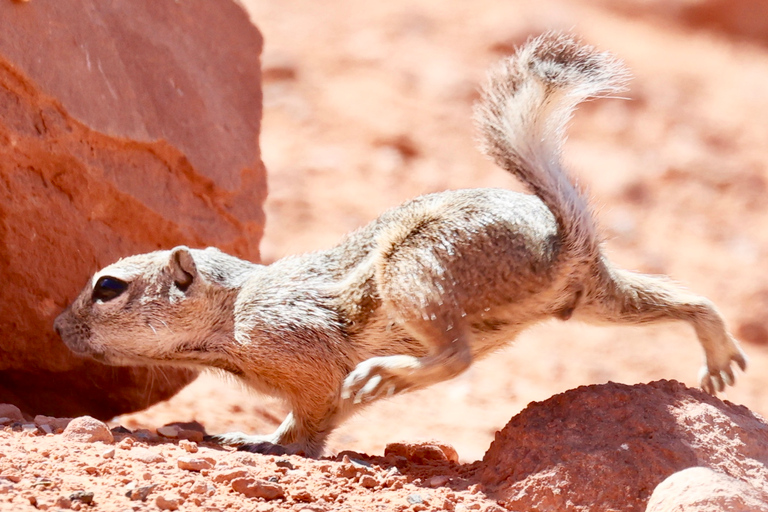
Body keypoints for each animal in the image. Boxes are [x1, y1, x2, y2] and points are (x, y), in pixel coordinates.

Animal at [52, 33, 744, 456]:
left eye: (108, 287)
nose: (56, 327)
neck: (233, 310)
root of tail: (556, 239)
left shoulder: (300, 351)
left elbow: (311, 410)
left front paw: (266, 443)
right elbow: (323, 418)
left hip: (416, 265)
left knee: (456, 356)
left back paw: (392, 370)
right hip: (593, 297)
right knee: (672, 299)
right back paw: (716, 347)